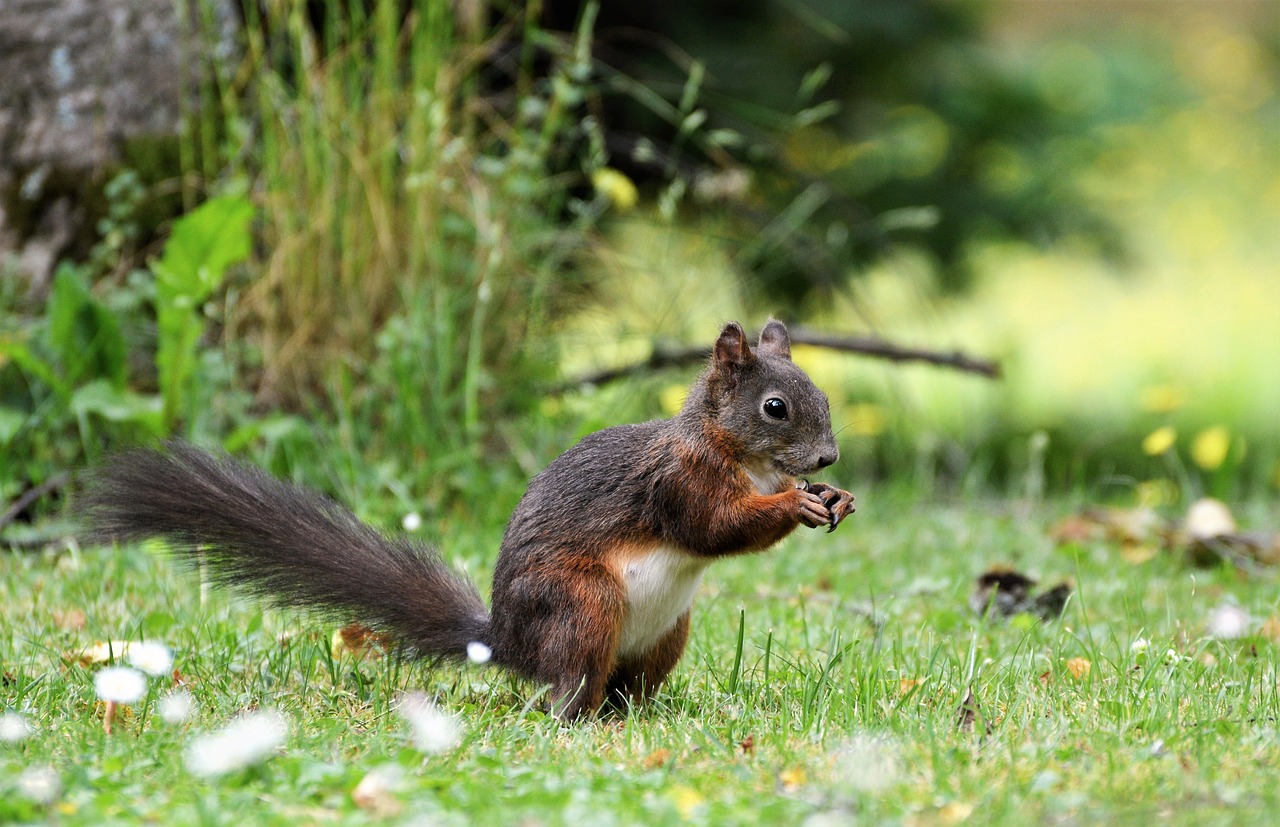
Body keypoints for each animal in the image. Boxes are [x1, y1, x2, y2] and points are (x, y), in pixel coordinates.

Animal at [85, 321, 855, 722]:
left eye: (821, 396)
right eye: (776, 408)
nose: (827, 455)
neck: (741, 458)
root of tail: (508, 643)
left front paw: (836, 496)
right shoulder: (678, 482)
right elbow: (713, 528)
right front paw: (794, 504)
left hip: (667, 632)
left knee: (623, 687)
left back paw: (637, 716)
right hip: (580, 602)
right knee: (568, 684)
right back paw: (577, 717)